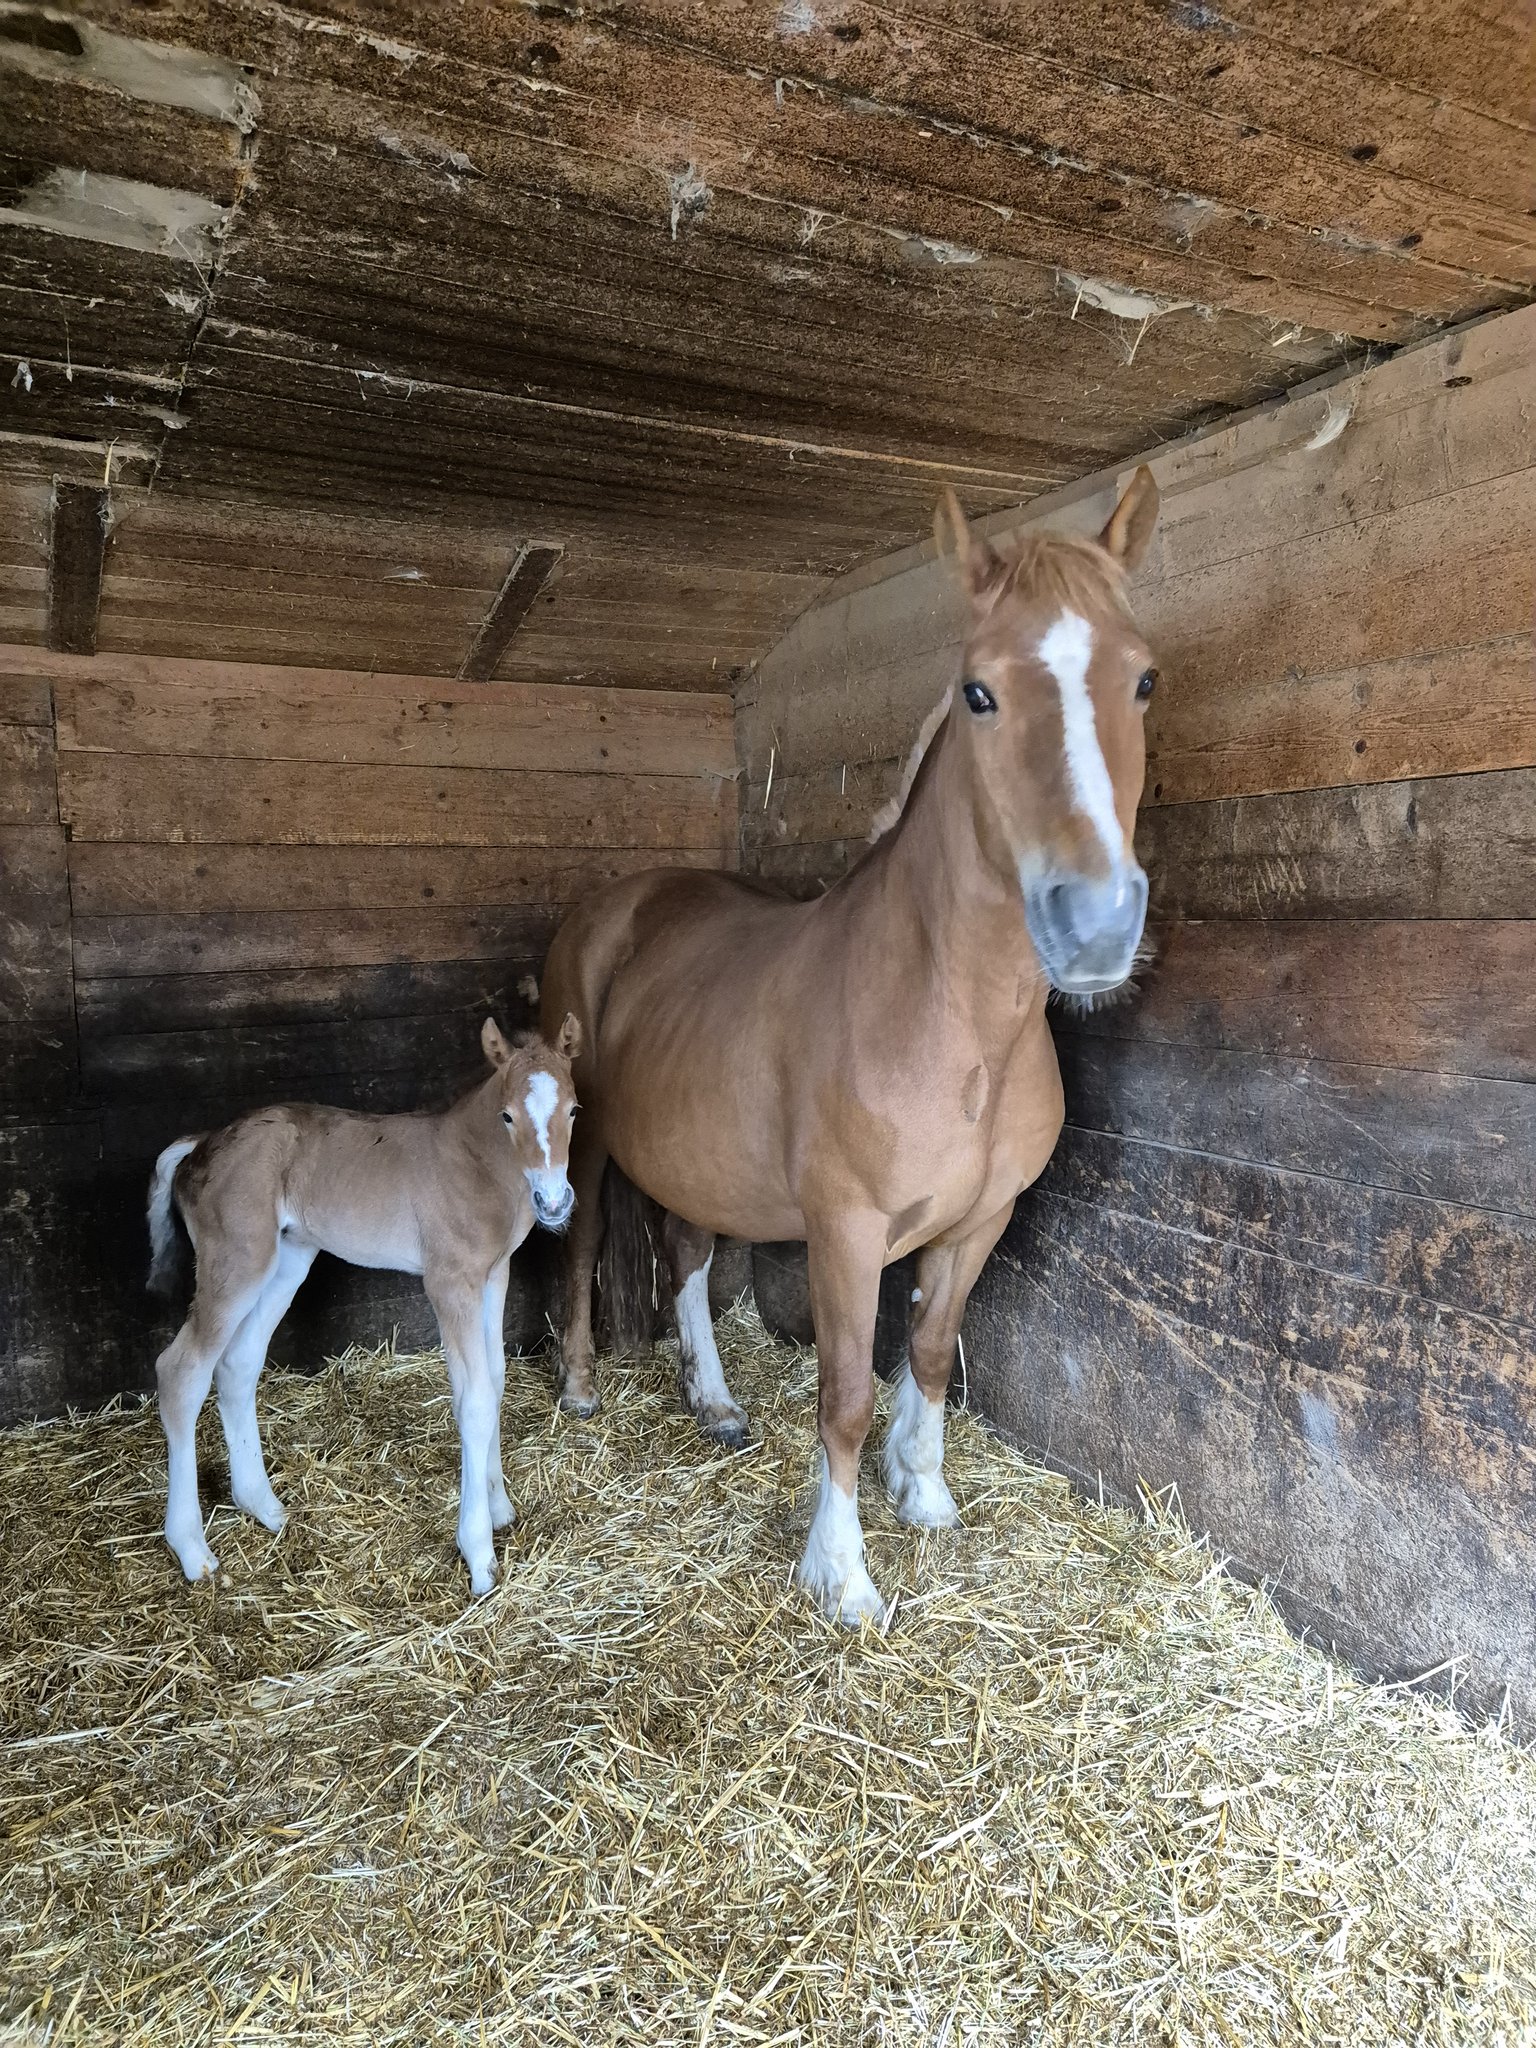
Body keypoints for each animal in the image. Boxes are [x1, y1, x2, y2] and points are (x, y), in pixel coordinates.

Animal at [146, 1015, 581, 1595]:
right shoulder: (449, 1281)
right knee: (181, 1372)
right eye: (507, 1115)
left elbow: (495, 1380)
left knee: (237, 1366)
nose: (553, 1202)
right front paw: (479, 1554)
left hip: (287, 1259)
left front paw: (498, 1508)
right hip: (235, 1262)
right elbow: (474, 1400)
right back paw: (193, 1550)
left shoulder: (494, 1274)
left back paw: (264, 1507)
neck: (475, 1163)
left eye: (574, 1109)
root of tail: (201, 1143)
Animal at [540, 470, 1161, 1623]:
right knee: (581, 1245)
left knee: (689, 1257)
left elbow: (926, 1352)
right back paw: (582, 1387)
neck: (953, 1021)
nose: (1096, 926)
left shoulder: (980, 1222)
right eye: (977, 692)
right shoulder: (846, 1232)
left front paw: (923, 1492)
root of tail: (617, 902)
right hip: (586, 1140)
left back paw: (714, 1402)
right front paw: (841, 1573)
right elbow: (843, 1397)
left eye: (1142, 680)